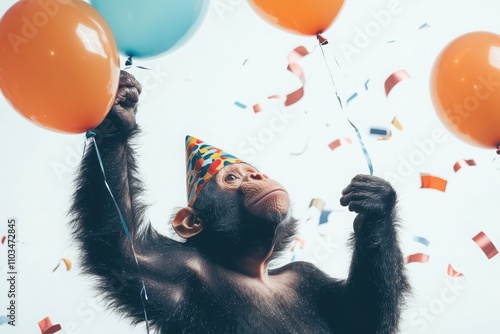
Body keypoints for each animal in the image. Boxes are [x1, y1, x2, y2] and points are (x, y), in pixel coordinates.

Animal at [68, 70, 408, 332]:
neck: (254, 271)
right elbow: (123, 248)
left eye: (251, 172)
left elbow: (360, 321)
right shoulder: (173, 268)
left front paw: (376, 204)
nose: (256, 176)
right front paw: (117, 117)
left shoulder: (304, 274)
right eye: (231, 178)